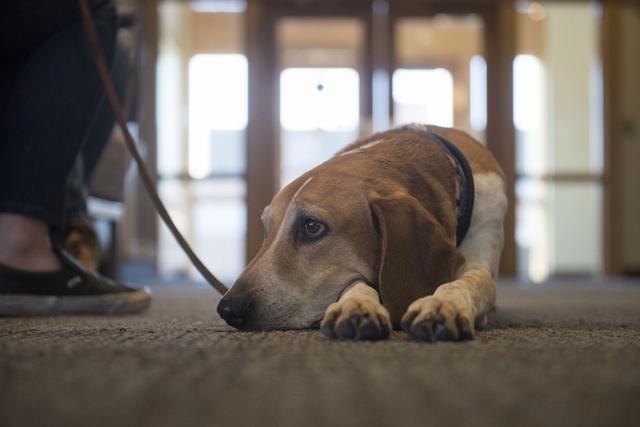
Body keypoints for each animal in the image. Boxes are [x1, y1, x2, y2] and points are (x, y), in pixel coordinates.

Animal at [218, 123, 508, 342]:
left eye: (312, 227)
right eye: (267, 229)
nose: (227, 308)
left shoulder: (485, 237)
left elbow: (471, 282)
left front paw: (443, 304)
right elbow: (355, 283)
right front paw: (356, 305)